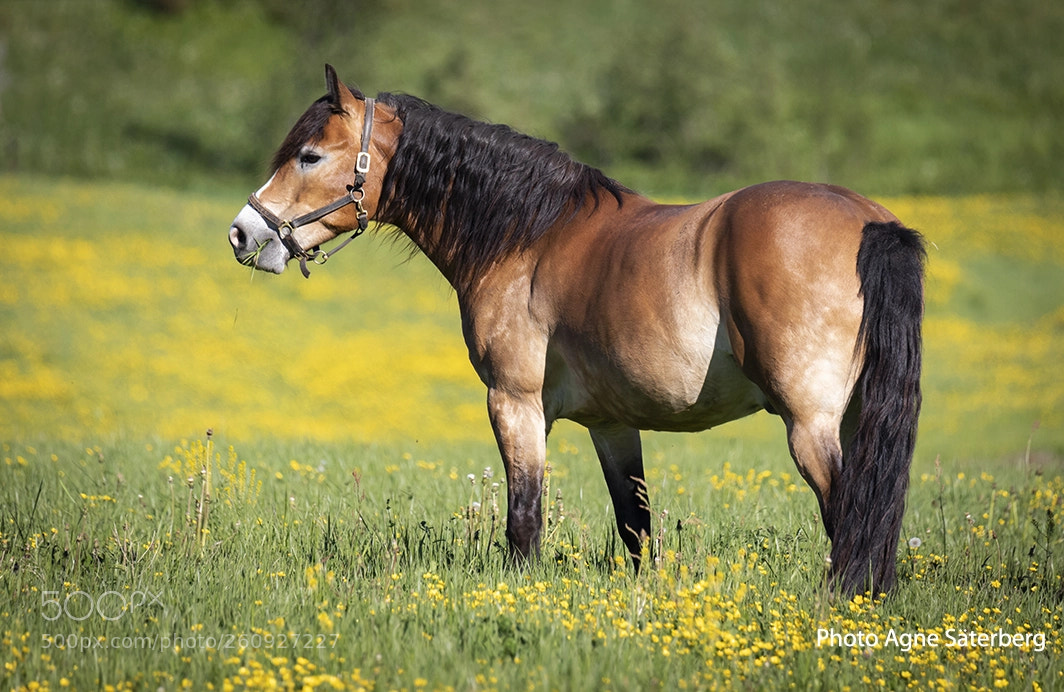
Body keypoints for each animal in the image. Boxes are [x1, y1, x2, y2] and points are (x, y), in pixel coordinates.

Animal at [228, 65, 925, 595]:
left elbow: (524, 517)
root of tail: (869, 222)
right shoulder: (612, 424)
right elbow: (635, 525)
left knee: (848, 514)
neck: (529, 235)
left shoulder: (515, 403)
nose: (243, 232)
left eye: (310, 155)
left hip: (809, 426)